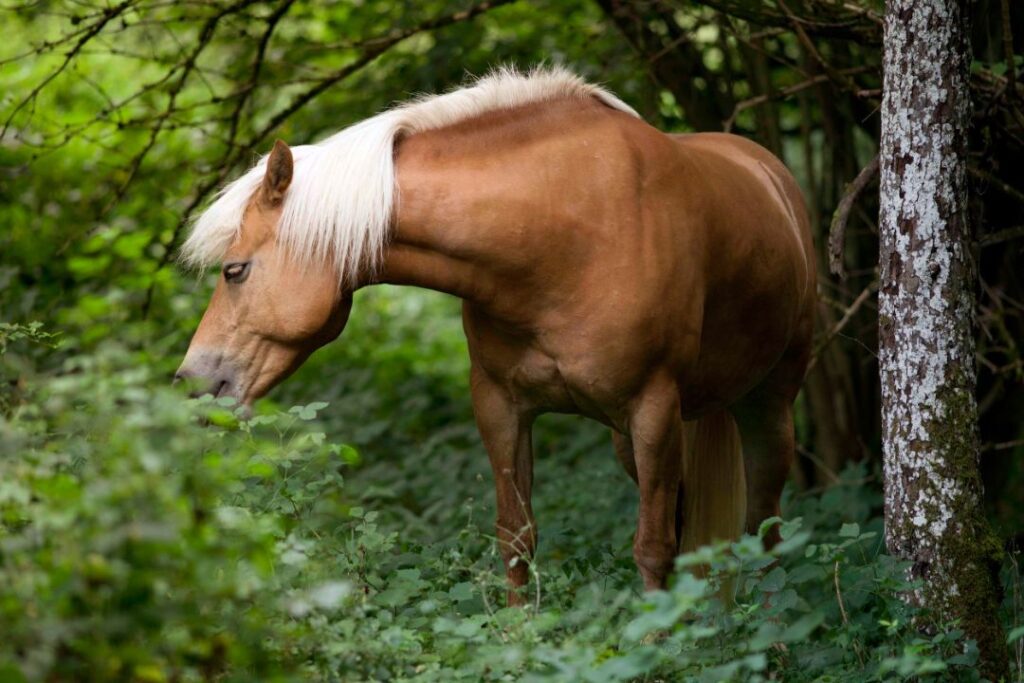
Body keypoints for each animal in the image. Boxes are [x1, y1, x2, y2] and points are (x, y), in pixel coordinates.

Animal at [176, 66, 816, 604]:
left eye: (235, 270)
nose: (192, 381)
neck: (562, 232)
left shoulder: (653, 409)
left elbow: (653, 550)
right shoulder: (501, 406)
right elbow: (516, 540)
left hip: (765, 409)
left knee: (765, 527)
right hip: (635, 439)